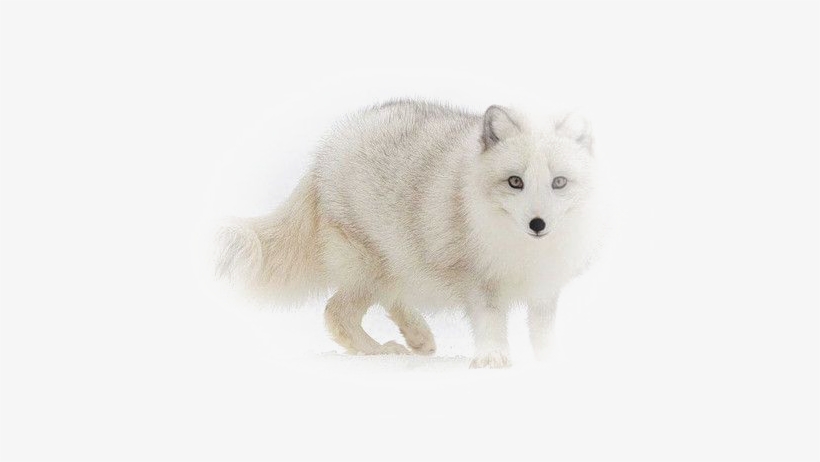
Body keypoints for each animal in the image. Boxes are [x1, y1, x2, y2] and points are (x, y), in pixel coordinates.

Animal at [216, 100, 601, 368]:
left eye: (559, 182)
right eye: (515, 182)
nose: (538, 224)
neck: (524, 251)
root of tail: (326, 151)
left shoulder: (545, 288)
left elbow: (542, 331)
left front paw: (550, 361)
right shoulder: (479, 281)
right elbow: (491, 324)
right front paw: (493, 360)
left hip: (398, 261)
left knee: (387, 299)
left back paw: (419, 337)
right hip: (370, 265)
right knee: (336, 314)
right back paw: (380, 351)